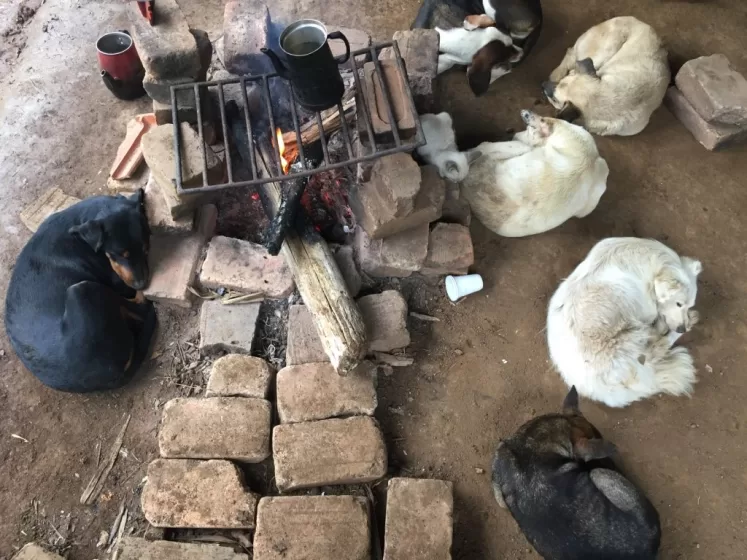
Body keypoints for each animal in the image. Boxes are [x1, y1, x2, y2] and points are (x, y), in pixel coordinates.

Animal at [5, 191, 157, 392]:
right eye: (119, 254)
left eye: (146, 250)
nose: (142, 284)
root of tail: (113, 376)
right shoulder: (118, 281)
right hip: (82, 289)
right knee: (143, 309)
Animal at [547, 238, 702, 407]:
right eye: (679, 304)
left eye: (689, 304)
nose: (682, 328)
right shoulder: (648, 309)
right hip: (634, 336)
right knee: (658, 347)